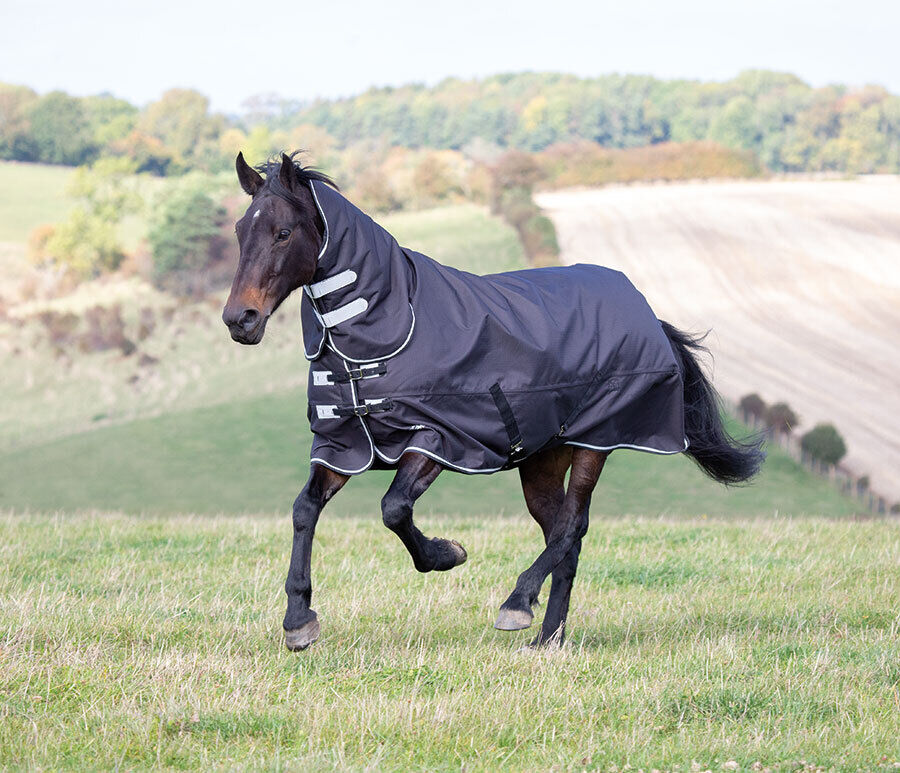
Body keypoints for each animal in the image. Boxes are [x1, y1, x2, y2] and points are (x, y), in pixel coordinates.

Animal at [223, 152, 764, 651]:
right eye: (239, 231)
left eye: (283, 232)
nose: (239, 320)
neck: (385, 328)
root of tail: (647, 312)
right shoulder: (343, 444)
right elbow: (304, 509)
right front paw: (298, 620)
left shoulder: (438, 438)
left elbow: (394, 507)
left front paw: (447, 554)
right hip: (544, 460)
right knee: (563, 535)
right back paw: (547, 639)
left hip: (597, 441)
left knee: (570, 527)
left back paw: (518, 605)